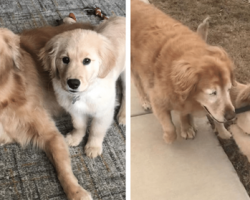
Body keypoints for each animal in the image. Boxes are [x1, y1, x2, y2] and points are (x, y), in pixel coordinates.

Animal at [39, 16, 126, 158]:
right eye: (65, 59)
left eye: (87, 61)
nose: (73, 83)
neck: (84, 93)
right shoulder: (75, 110)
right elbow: (79, 125)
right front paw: (75, 137)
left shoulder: (103, 112)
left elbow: (96, 130)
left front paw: (93, 146)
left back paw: (123, 115)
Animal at [132, 0, 235, 144]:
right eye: (212, 93)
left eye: (229, 89)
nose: (231, 116)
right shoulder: (158, 99)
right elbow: (170, 128)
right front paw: (170, 136)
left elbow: (185, 114)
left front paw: (189, 126)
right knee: (137, 83)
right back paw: (144, 101)